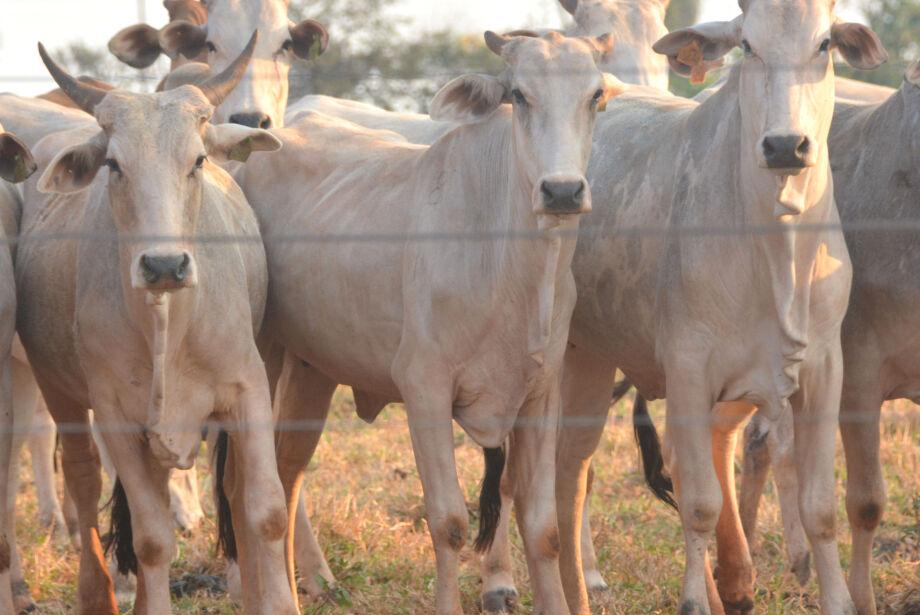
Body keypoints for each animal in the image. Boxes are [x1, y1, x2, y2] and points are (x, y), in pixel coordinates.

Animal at [13, 38, 294, 615]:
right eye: (113, 164)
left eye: (198, 160)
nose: (164, 265)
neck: (170, 326)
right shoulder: (116, 415)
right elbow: (151, 540)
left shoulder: (248, 390)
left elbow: (265, 512)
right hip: (59, 389)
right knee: (82, 477)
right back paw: (99, 593)